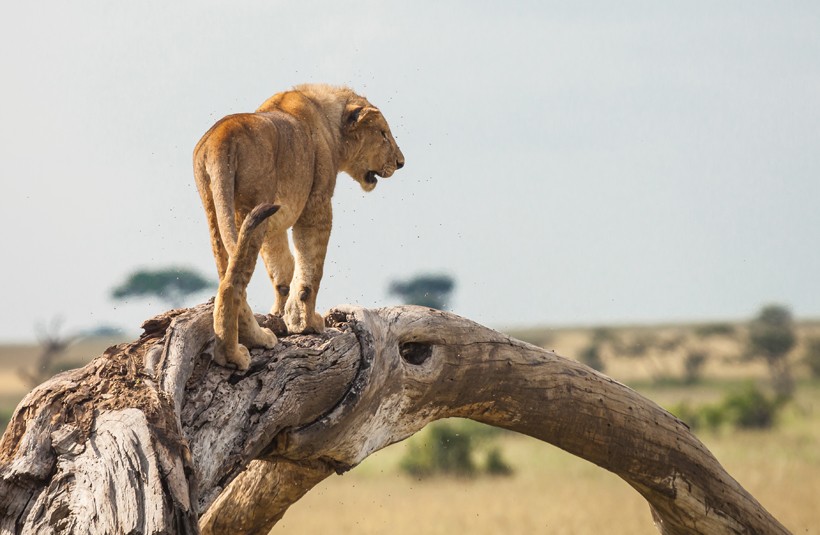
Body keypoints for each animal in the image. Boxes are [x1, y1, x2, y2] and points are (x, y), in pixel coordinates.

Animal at [195, 85, 406, 368]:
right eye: (383, 133)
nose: (401, 162)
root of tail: (221, 138)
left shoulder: (275, 224)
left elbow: (283, 269)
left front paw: (283, 315)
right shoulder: (316, 206)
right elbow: (310, 268)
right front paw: (305, 322)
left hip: (216, 212)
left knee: (227, 272)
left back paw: (255, 338)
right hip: (251, 205)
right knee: (232, 282)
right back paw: (233, 353)